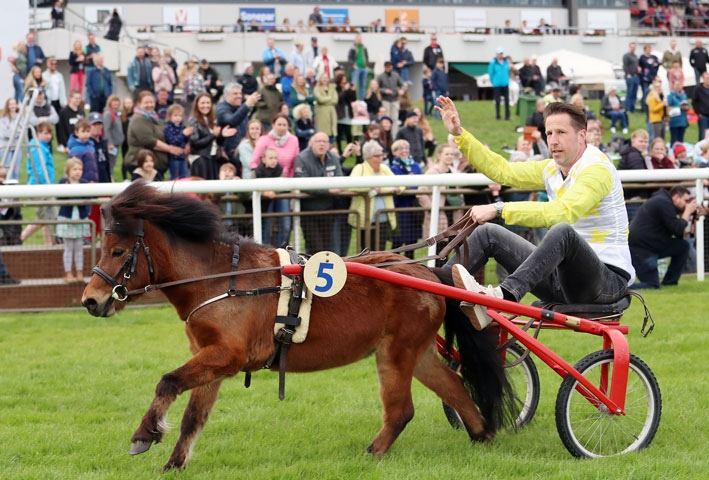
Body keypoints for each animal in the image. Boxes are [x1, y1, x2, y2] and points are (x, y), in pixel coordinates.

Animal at [80, 182, 508, 470]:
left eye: (117, 250)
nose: (90, 299)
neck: (222, 280)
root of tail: (429, 272)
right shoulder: (211, 358)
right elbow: (192, 417)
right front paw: (173, 462)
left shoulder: (227, 355)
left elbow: (167, 381)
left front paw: (143, 434)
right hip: (416, 353)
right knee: (454, 387)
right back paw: (483, 435)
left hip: (395, 353)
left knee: (401, 410)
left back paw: (373, 452)